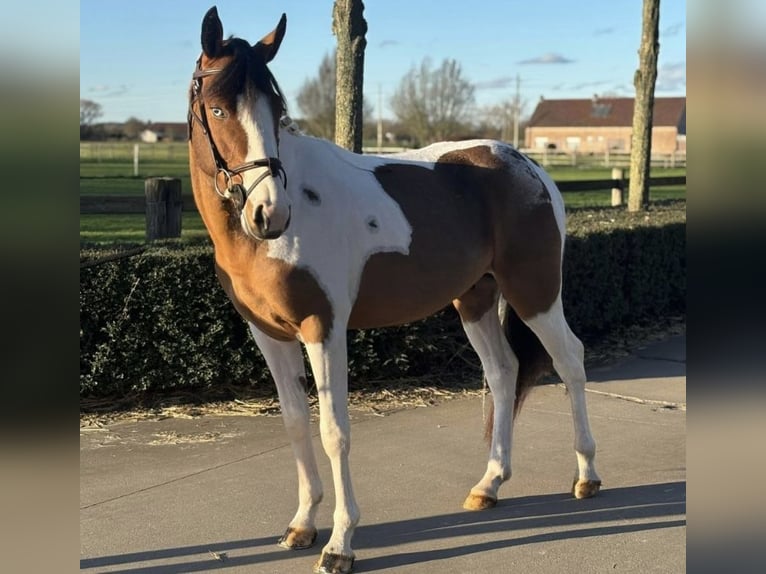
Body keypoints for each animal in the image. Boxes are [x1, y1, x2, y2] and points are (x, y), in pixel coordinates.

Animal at [187, 7, 600, 574]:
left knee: (570, 361)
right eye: (218, 109)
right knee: (503, 373)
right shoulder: (267, 334)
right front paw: (302, 524)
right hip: (475, 299)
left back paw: (586, 476)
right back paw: (489, 485)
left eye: (276, 108)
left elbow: (334, 431)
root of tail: (530, 167)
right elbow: (295, 423)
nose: (269, 212)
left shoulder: (323, 328)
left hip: (534, 291)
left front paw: (340, 544)